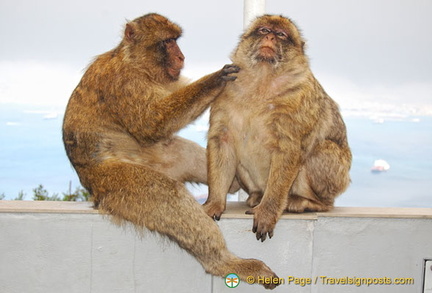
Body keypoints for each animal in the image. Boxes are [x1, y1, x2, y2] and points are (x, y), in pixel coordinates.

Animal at [62, 12, 278, 288]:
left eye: (176, 40)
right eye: (167, 42)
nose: (181, 56)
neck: (135, 63)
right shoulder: (123, 81)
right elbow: (152, 123)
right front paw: (215, 79)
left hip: (163, 158)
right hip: (113, 184)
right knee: (168, 193)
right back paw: (225, 263)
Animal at [205, 13, 352, 241]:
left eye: (281, 34)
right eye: (264, 30)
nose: (271, 37)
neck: (262, 82)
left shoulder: (298, 98)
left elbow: (289, 150)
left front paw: (268, 212)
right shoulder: (225, 90)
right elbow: (223, 141)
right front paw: (214, 203)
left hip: (336, 180)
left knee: (321, 149)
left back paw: (307, 202)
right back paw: (257, 196)